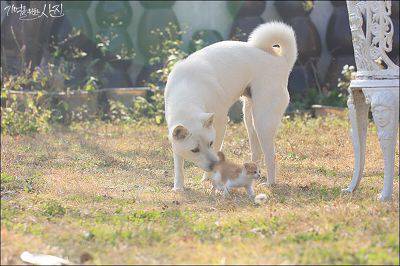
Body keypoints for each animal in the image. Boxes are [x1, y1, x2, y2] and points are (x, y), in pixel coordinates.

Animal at [163, 21, 296, 190]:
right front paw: (178, 188)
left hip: (263, 121)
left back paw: (270, 182)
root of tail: (281, 61)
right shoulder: (175, 138)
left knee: (271, 155)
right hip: (249, 119)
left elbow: (217, 149)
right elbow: (178, 164)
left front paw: (209, 179)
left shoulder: (220, 124)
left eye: (210, 143)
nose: (213, 165)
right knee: (257, 151)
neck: (187, 93)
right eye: (194, 150)